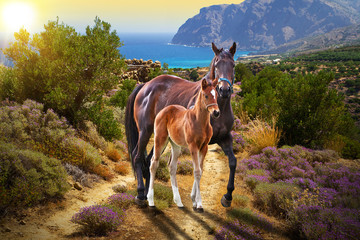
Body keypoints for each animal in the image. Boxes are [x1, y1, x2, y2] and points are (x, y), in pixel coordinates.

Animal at [147, 78, 219, 211]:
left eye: (216, 94)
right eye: (206, 95)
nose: (216, 112)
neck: (200, 122)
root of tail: (163, 110)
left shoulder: (204, 147)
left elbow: (201, 170)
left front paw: (194, 200)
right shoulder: (193, 146)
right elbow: (197, 171)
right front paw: (199, 204)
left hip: (175, 145)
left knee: (172, 167)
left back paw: (178, 201)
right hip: (160, 139)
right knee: (154, 163)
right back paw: (151, 201)